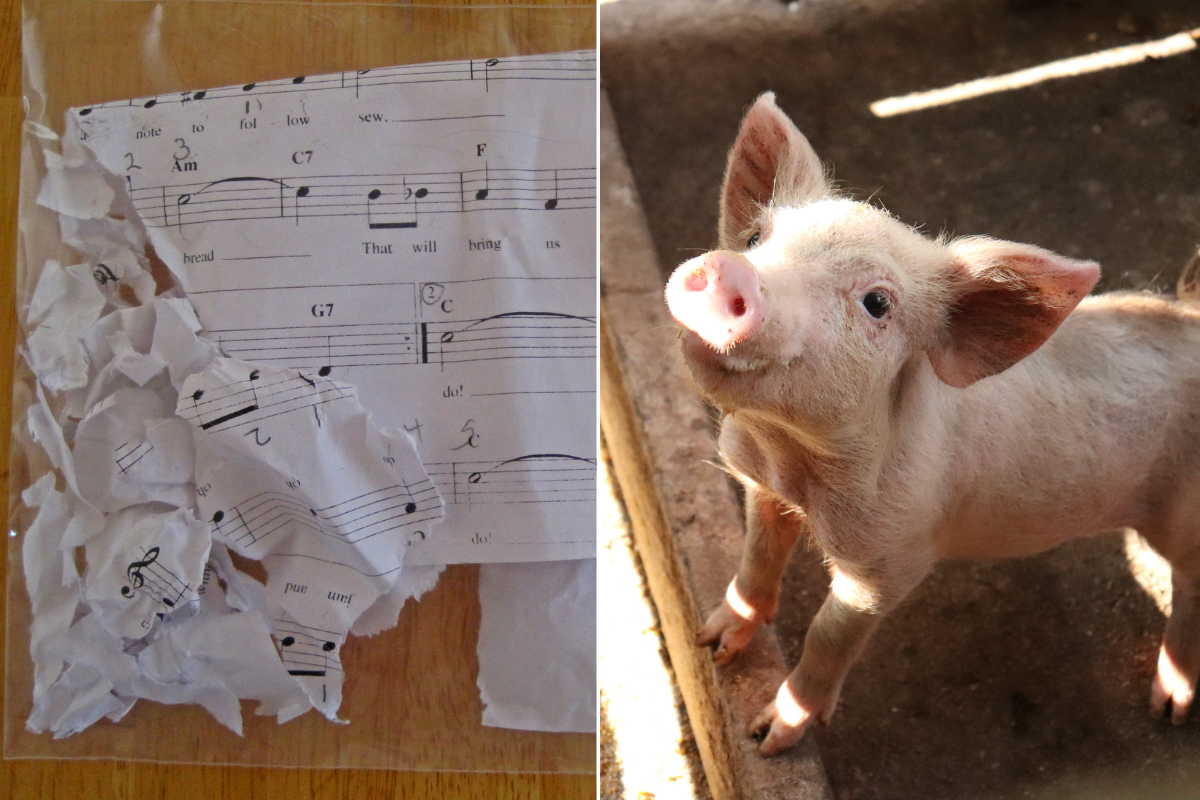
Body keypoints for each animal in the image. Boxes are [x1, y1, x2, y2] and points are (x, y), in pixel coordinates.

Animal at [665, 92, 1200, 756]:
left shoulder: (894, 558)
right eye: (756, 236)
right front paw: (711, 645)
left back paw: (1169, 709)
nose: (727, 270)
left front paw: (768, 738)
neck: (795, 462)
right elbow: (756, 561)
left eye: (877, 303)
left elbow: (827, 633)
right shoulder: (764, 489)